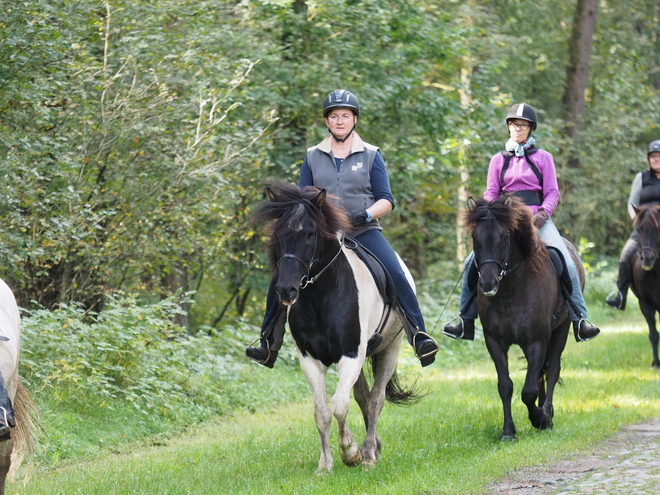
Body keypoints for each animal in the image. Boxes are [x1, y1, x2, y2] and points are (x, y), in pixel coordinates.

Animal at [464, 196, 584, 440]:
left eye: (504, 237)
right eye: (474, 237)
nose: (488, 284)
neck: (509, 292)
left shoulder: (536, 341)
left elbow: (528, 391)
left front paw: (540, 419)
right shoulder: (494, 341)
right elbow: (505, 386)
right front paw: (508, 431)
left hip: (562, 328)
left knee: (552, 369)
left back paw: (547, 413)